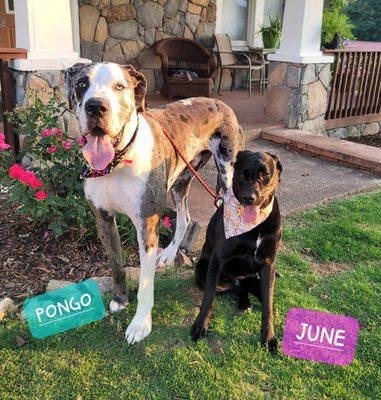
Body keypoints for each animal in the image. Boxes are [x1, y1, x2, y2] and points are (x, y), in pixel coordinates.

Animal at [191, 150, 280, 354]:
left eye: (265, 175)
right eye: (242, 174)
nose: (249, 198)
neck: (253, 226)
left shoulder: (268, 263)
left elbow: (268, 306)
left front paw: (268, 337)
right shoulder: (218, 259)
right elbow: (208, 299)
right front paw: (200, 326)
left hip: (255, 278)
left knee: (252, 290)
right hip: (203, 271)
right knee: (234, 288)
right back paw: (243, 302)